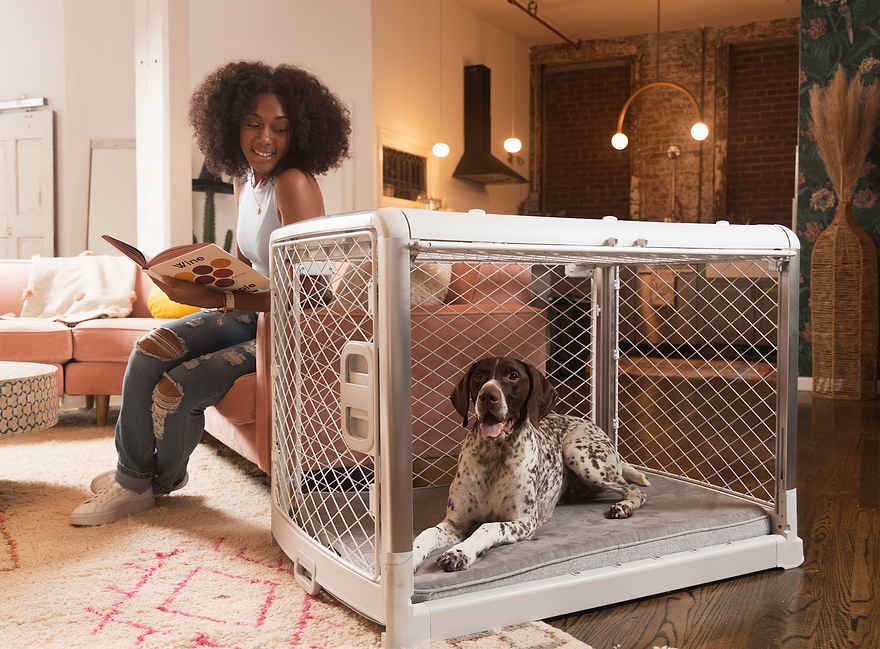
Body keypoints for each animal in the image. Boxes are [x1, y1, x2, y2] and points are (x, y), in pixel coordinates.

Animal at [410, 354, 648, 572]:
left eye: (513, 376)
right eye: (479, 376)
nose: (487, 396)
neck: (494, 456)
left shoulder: (523, 521)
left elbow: (488, 527)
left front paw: (459, 553)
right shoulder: (455, 523)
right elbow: (425, 534)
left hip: (579, 454)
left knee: (635, 489)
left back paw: (624, 506)